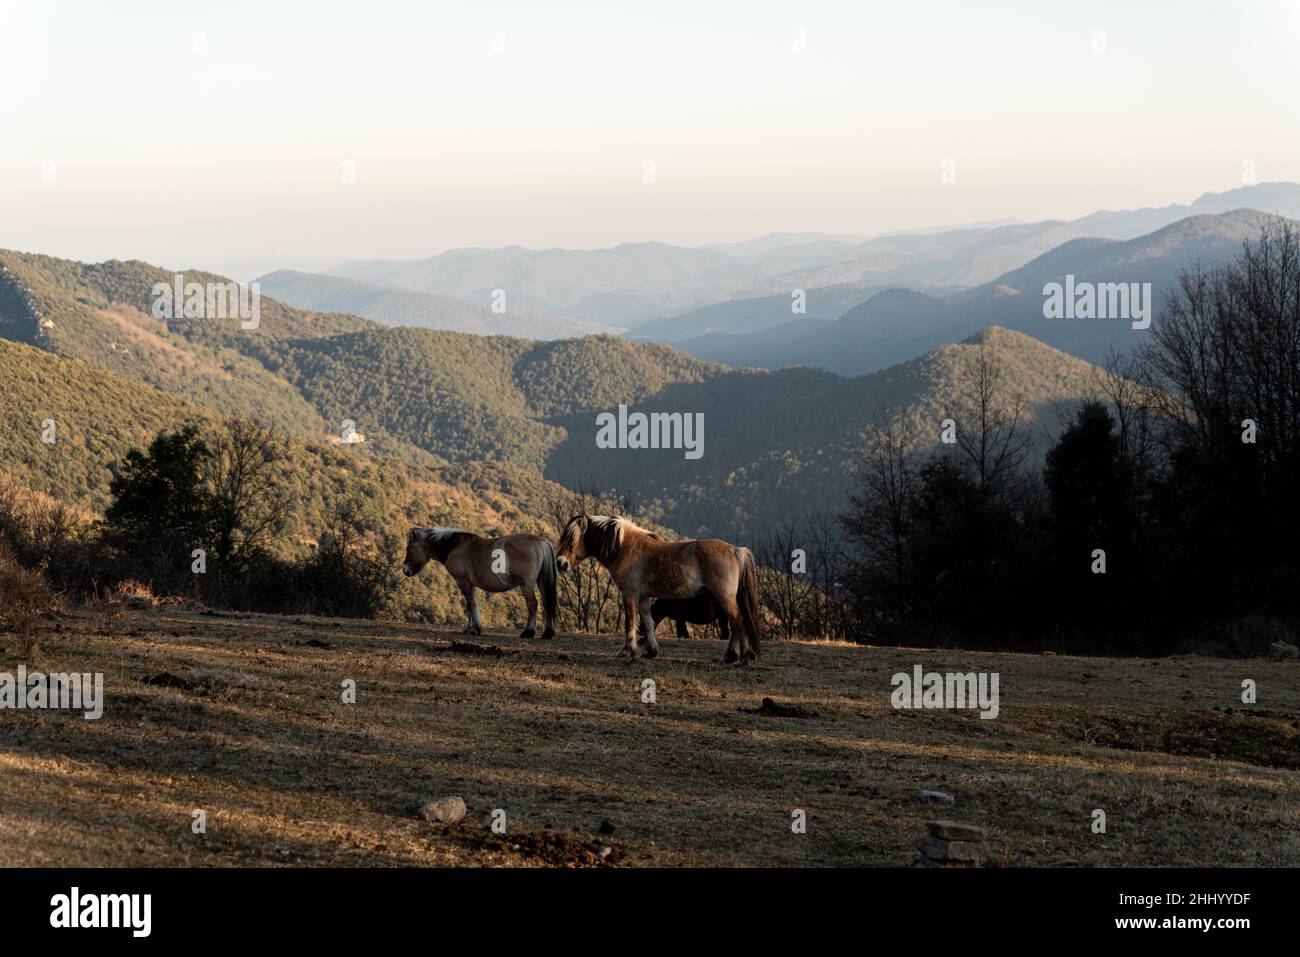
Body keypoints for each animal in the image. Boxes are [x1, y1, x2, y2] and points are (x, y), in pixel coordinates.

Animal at [402, 528, 557, 640]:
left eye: (409, 549)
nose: (405, 569)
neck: (454, 547)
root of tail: (540, 541)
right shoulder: (470, 585)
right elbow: (473, 605)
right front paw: (474, 628)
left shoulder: (463, 582)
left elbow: (470, 605)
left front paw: (472, 629)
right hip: (540, 582)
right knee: (546, 603)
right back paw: (547, 633)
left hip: (526, 585)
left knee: (533, 605)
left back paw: (528, 632)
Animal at [555, 514, 760, 663]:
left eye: (572, 538)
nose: (560, 563)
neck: (625, 547)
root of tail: (736, 550)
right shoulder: (644, 597)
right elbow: (648, 623)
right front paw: (651, 651)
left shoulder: (630, 594)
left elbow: (630, 621)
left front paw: (628, 651)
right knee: (735, 624)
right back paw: (730, 656)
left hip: (724, 597)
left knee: (738, 621)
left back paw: (743, 657)